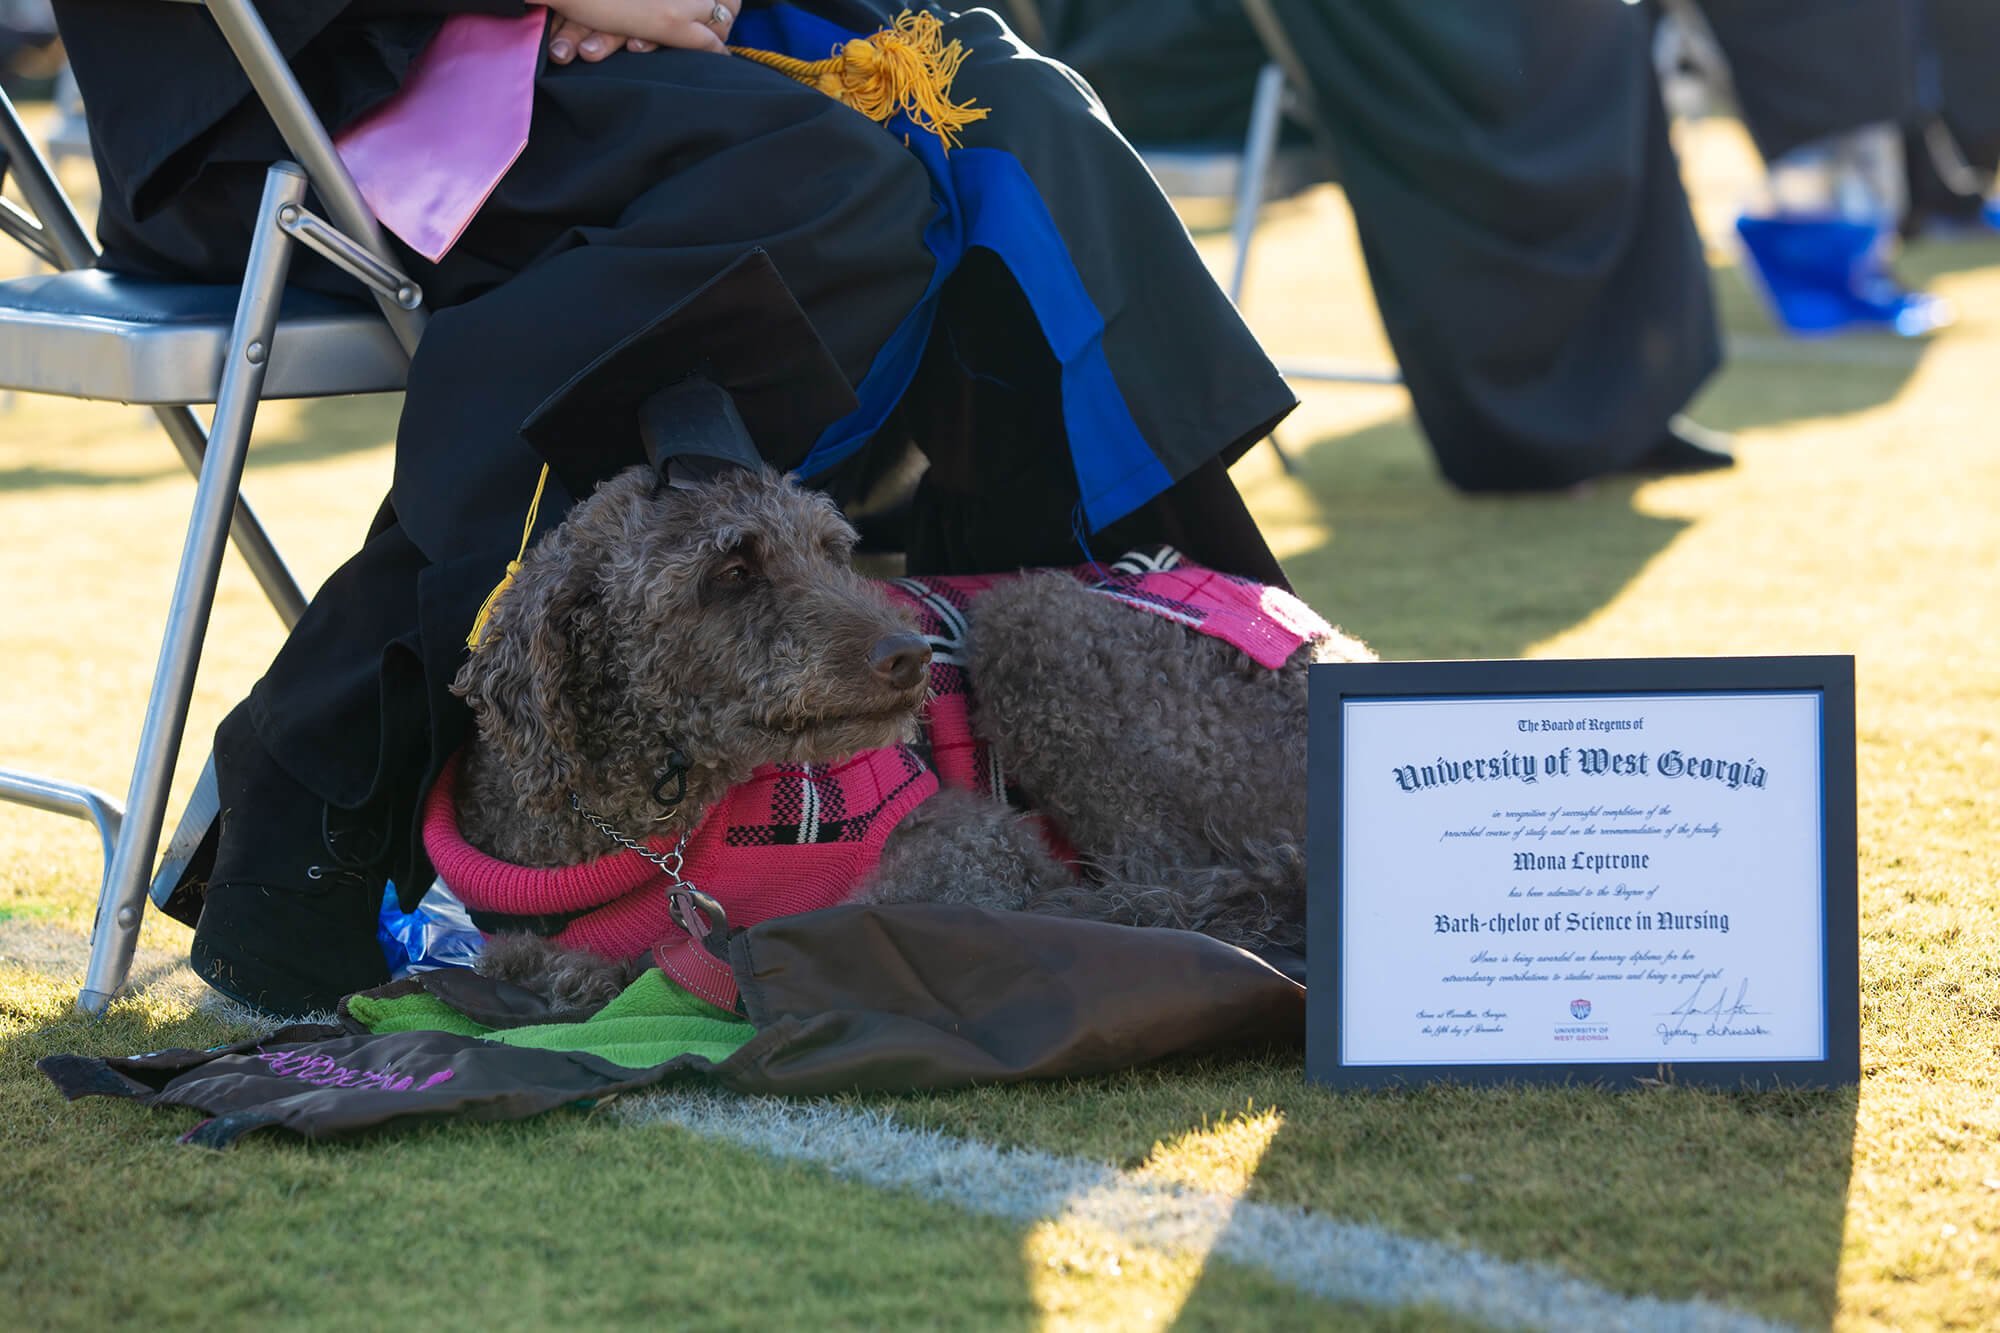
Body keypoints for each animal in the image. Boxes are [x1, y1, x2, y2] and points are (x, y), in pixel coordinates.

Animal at [446, 462, 1368, 1000]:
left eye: (831, 549)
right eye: (731, 571)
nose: (910, 654)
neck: (656, 830)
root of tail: (1339, 646)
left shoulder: (976, 846)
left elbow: (839, 919)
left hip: (1030, 619)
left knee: (1162, 884)